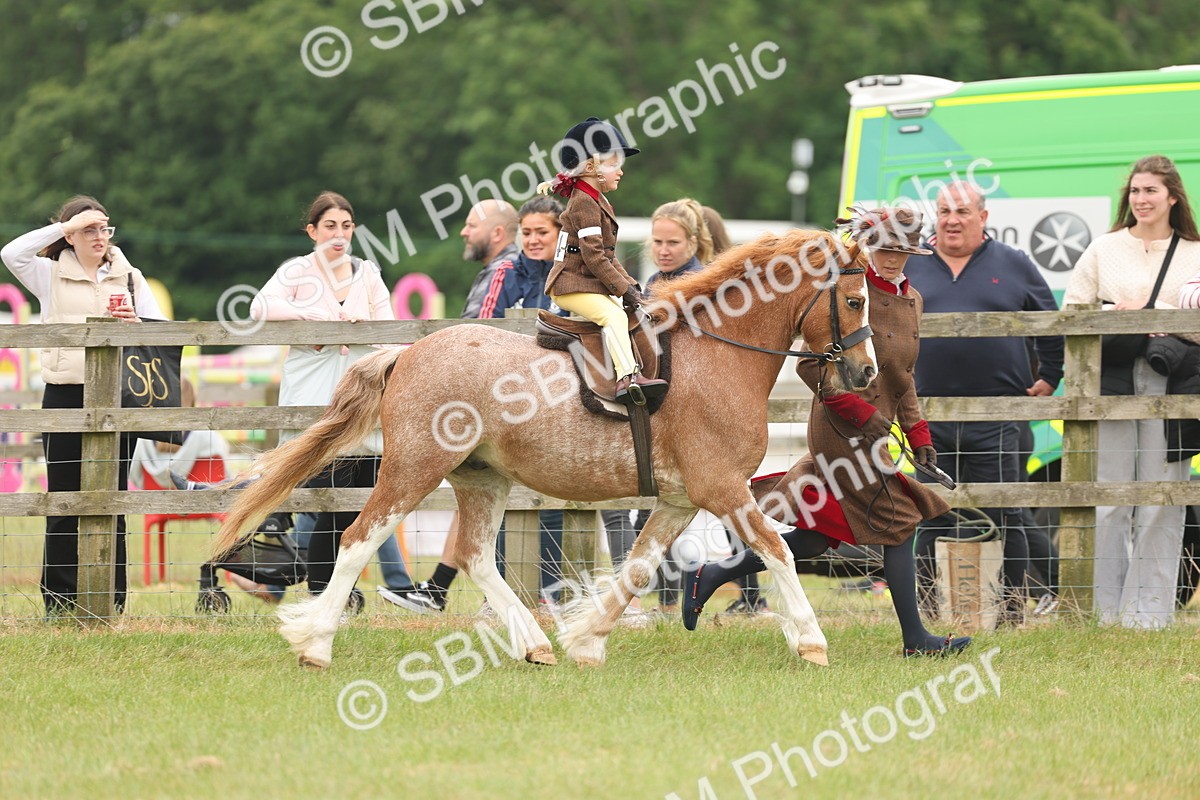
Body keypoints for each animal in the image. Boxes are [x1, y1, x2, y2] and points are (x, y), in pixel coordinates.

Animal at [211, 227, 878, 669]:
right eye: (854, 300)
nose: (867, 372)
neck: (718, 353)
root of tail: (409, 352)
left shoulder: (681, 499)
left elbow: (637, 568)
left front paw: (586, 640)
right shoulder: (723, 490)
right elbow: (777, 551)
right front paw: (811, 641)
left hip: (481, 479)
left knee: (477, 556)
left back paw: (535, 643)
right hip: (413, 470)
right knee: (357, 540)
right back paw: (315, 645)